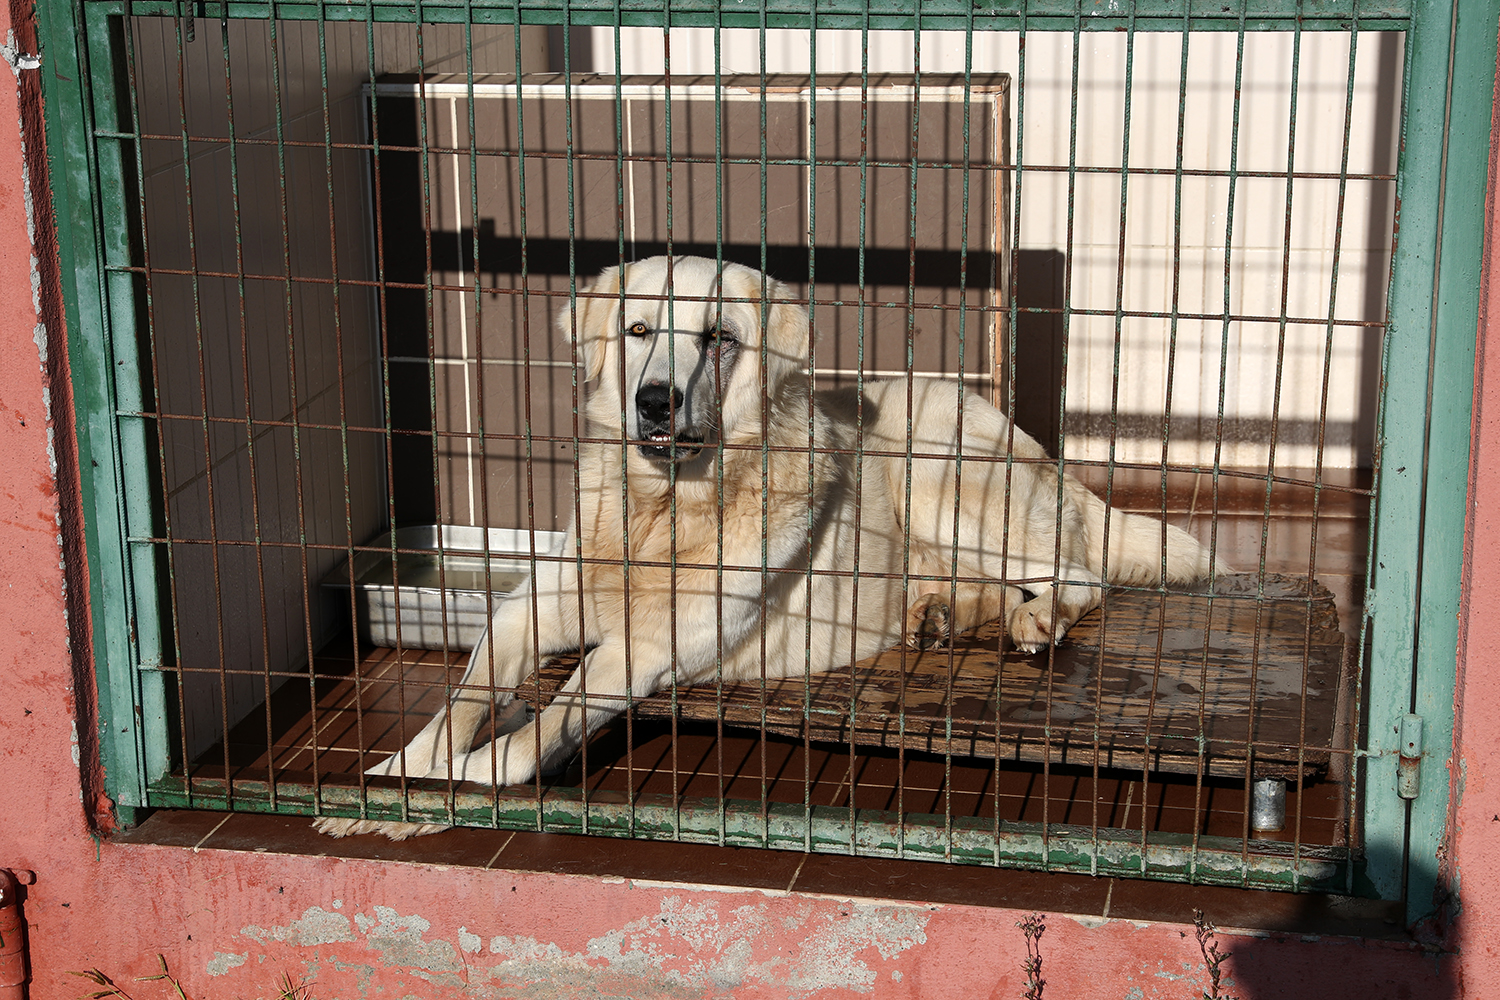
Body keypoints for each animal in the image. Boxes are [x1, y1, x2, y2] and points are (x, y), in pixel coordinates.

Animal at [316, 256, 1218, 839]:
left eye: (719, 338)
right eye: (637, 328)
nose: (655, 400)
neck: (665, 510)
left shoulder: (648, 648)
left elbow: (529, 737)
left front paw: (452, 785)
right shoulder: (528, 610)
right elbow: (461, 699)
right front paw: (397, 774)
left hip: (945, 481)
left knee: (1082, 574)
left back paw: (1035, 621)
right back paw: (939, 613)